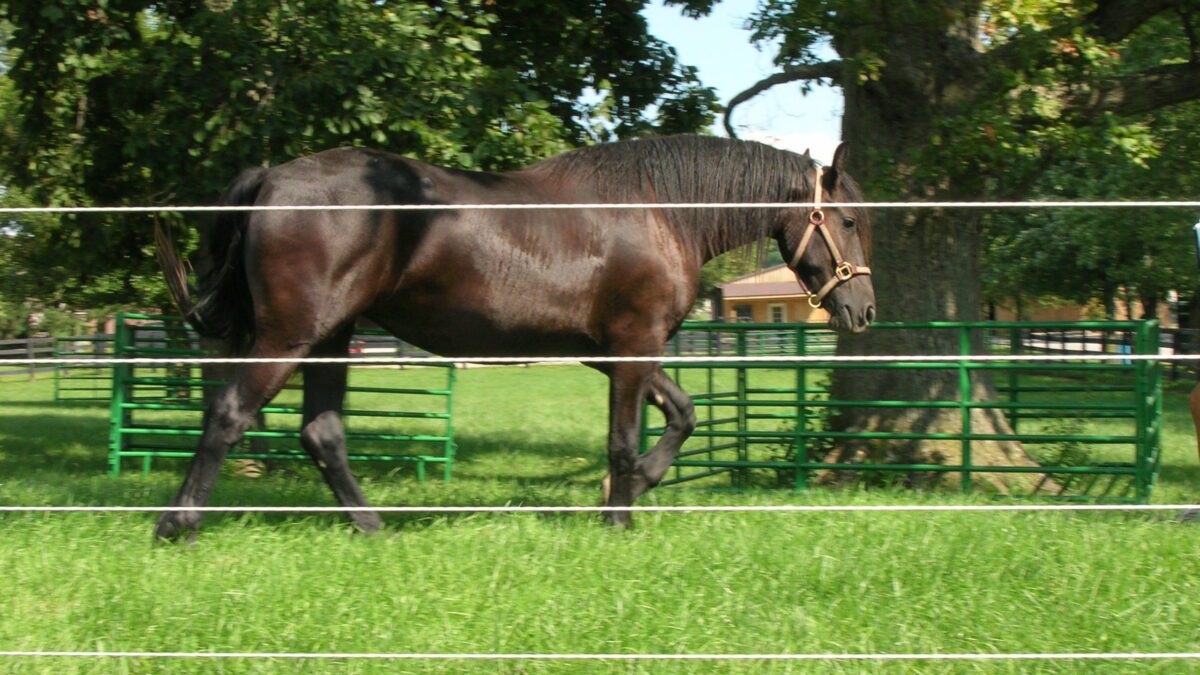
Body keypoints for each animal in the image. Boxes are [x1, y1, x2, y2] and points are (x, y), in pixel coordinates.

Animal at [152, 134, 875, 541]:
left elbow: (682, 415)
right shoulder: (632, 345)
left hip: (330, 337)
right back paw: (177, 525)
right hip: (291, 337)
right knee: (229, 413)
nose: (864, 308)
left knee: (322, 433)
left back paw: (373, 528)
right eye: (847, 220)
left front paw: (631, 488)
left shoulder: (612, 352)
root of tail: (273, 178)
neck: (658, 207)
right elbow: (622, 440)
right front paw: (619, 516)